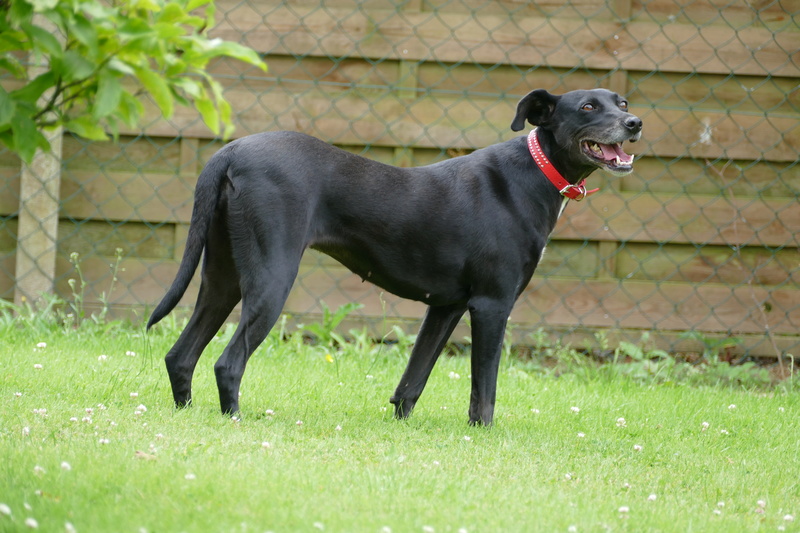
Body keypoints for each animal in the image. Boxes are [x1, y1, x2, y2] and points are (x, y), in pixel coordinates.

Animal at [145, 89, 644, 426]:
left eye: (620, 101)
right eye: (587, 107)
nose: (635, 122)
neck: (535, 174)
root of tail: (229, 152)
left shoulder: (445, 307)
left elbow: (412, 382)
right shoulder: (491, 306)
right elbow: (484, 389)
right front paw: (482, 434)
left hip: (222, 279)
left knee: (180, 355)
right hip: (271, 279)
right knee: (228, 362)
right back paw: (234, 420)